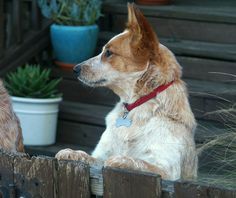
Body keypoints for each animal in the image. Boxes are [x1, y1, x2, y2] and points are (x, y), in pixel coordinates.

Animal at [55, 3, 197, 181]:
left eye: (108, 53)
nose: (75, 69)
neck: (134, 107)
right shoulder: (100, 154)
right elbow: (89, 157)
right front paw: (70, 152)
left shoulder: (167, 170)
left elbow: (131, 161)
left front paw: (118, 160)